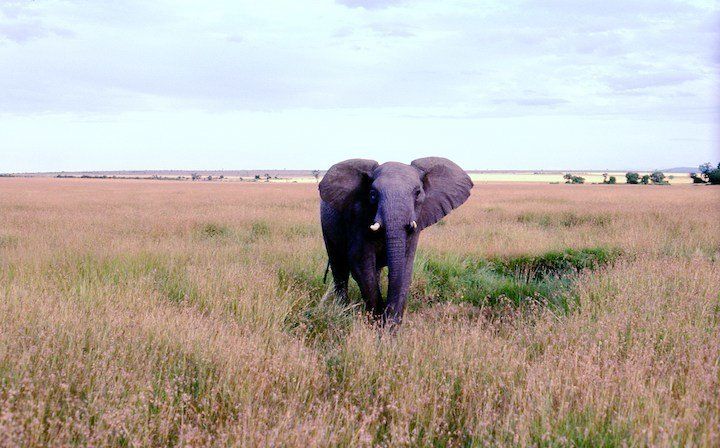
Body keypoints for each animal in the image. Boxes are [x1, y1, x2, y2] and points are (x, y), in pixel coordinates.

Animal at [319, 157, 473, 327]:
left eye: (418, 193)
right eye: (372, 194)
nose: (388, 319)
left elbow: (406, 265)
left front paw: (391, 326)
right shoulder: (358, 219)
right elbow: (361, 263)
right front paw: (378, 324)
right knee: (339, 267)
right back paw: (342, 309)